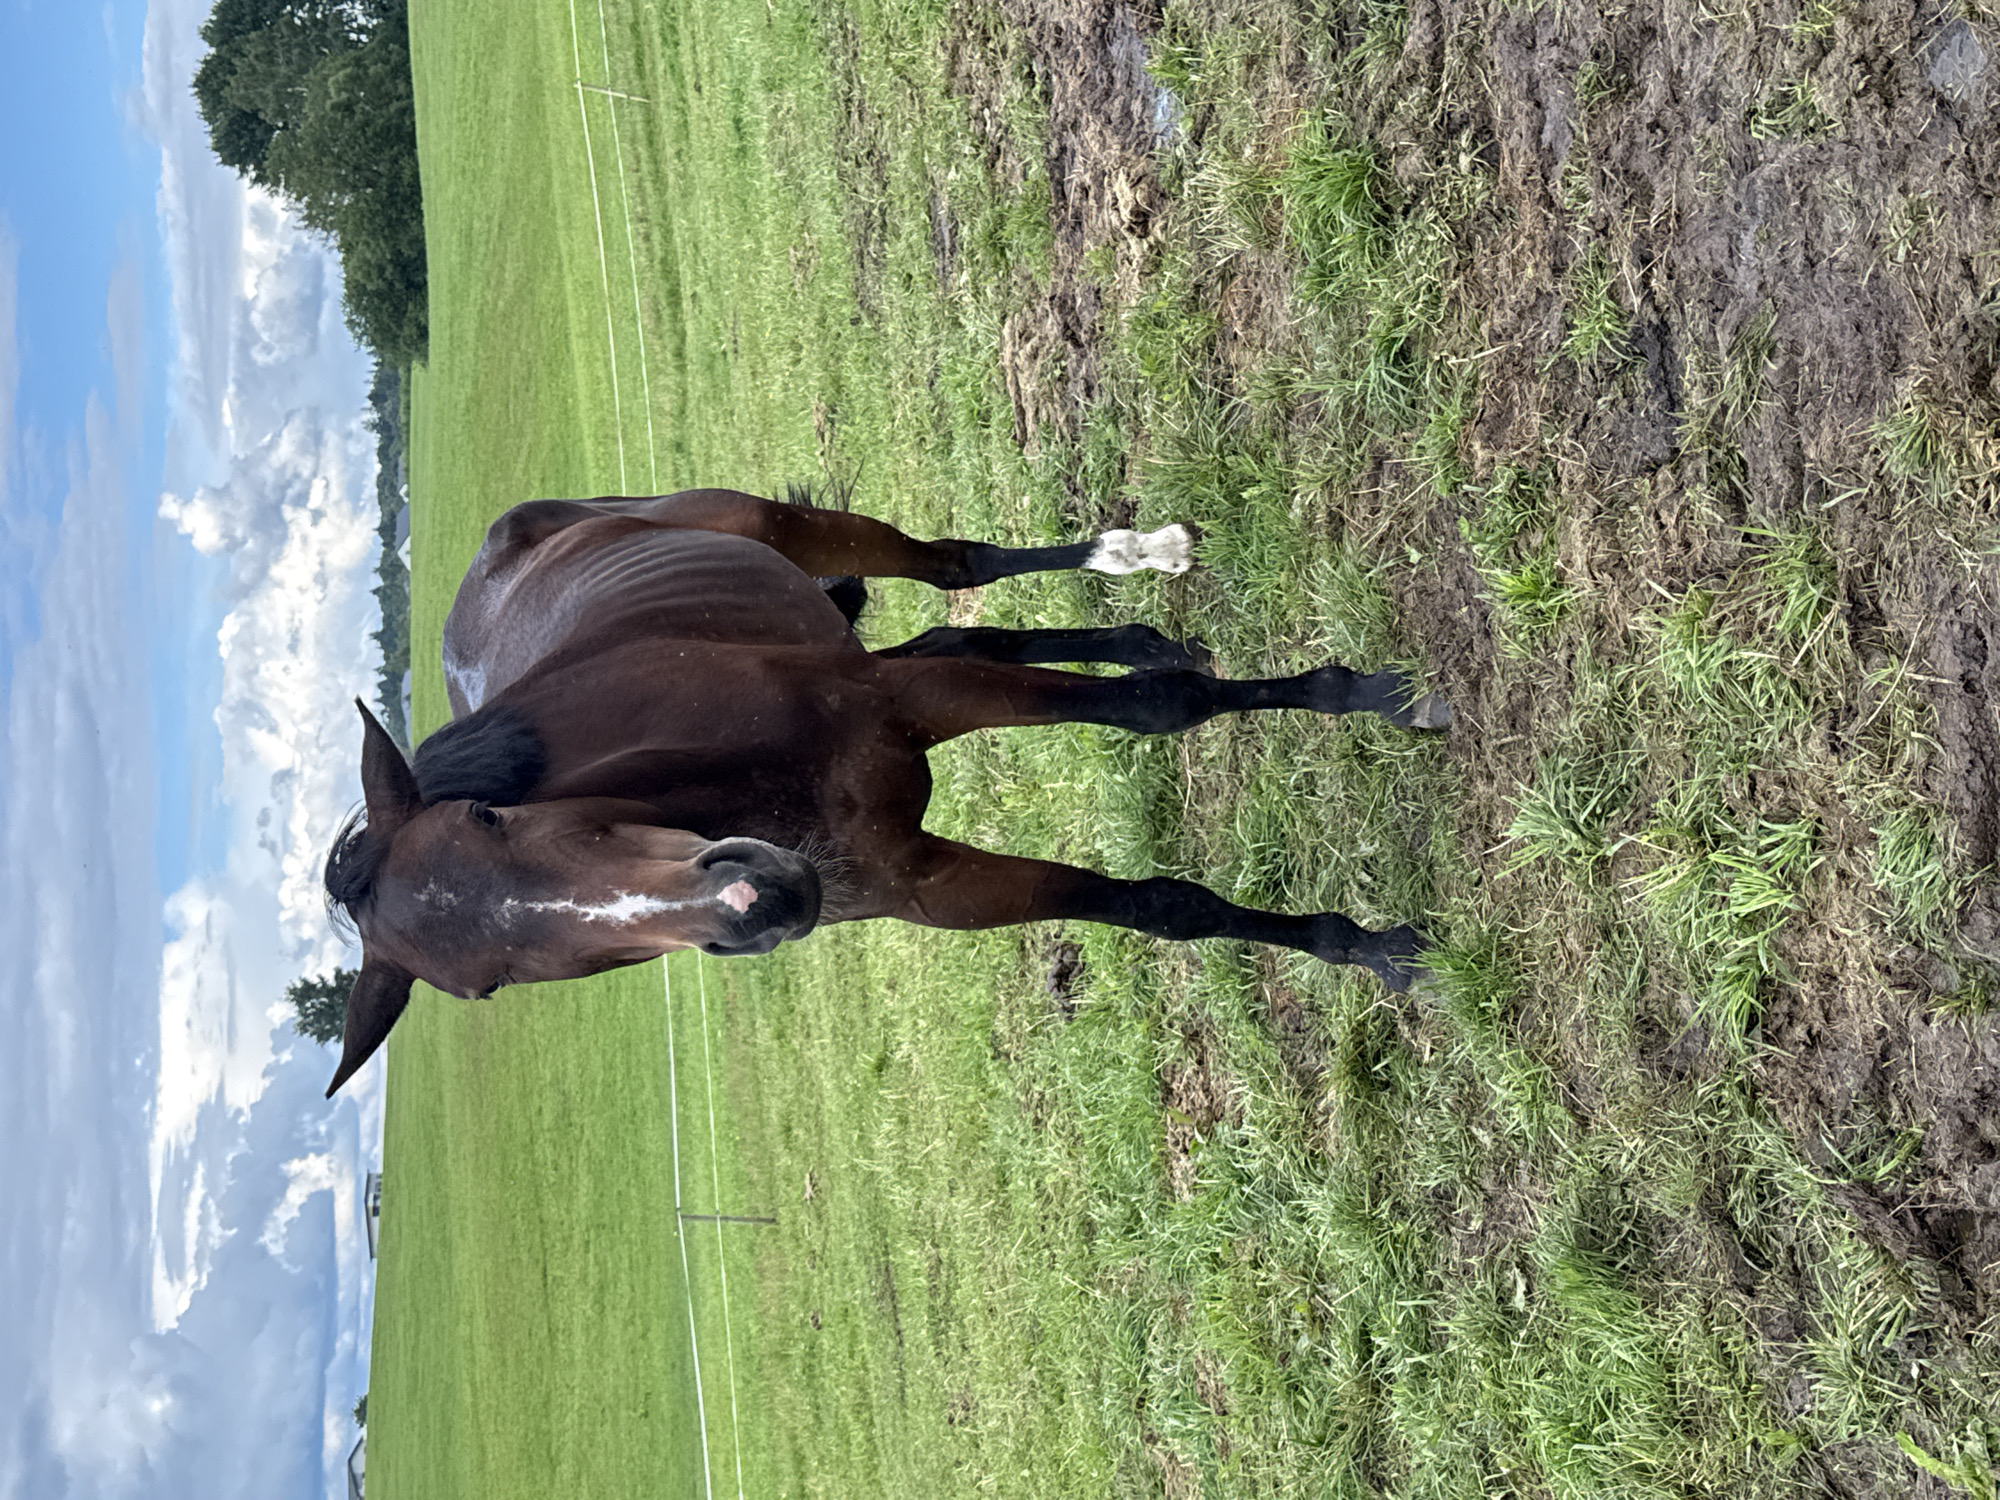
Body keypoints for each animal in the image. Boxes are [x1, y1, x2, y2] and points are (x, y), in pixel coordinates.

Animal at [321, 490, 1449, 1095]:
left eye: (493, 816)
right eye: (488, 987)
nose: (755, 901)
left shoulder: (906, 702)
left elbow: (1162, 711)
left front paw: (1372, 697)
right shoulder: (926, 884)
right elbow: (1159, 907)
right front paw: (1362, 948)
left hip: (782, 527)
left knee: (950, 565)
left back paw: (1138, 553)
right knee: (961, 625)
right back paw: (1136, 629)